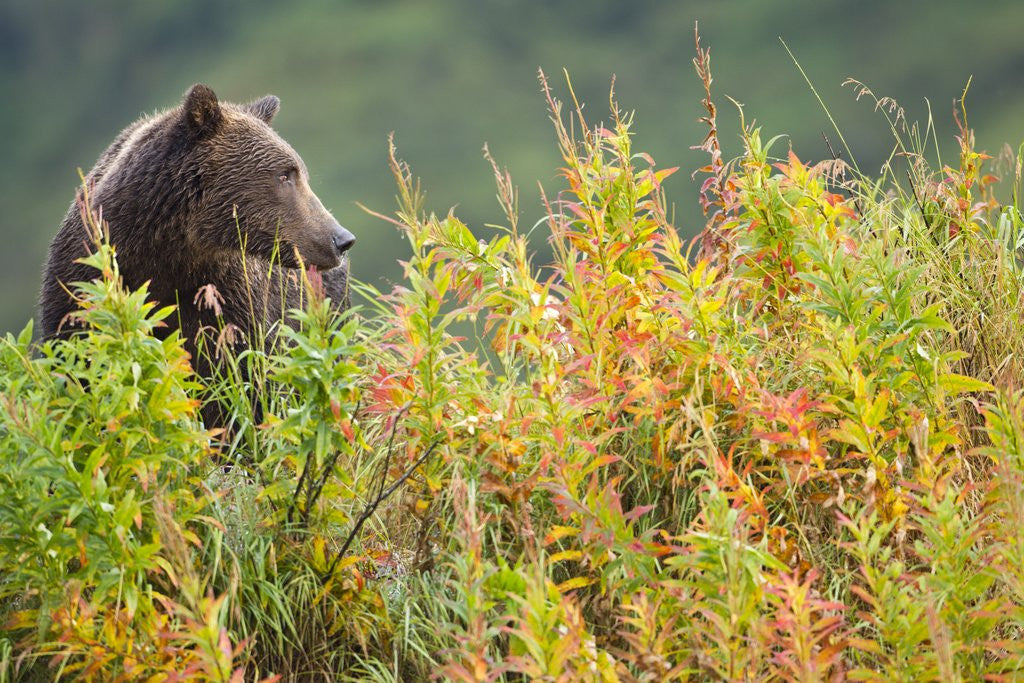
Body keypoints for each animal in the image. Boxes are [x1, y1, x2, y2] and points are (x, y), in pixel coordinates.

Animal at [39, 84, 355, 424]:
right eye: (284, 174)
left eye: (300, 173)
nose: (341, 239)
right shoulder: (85, 282)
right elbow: (79, 365)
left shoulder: (228, 300)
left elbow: (249, 384)